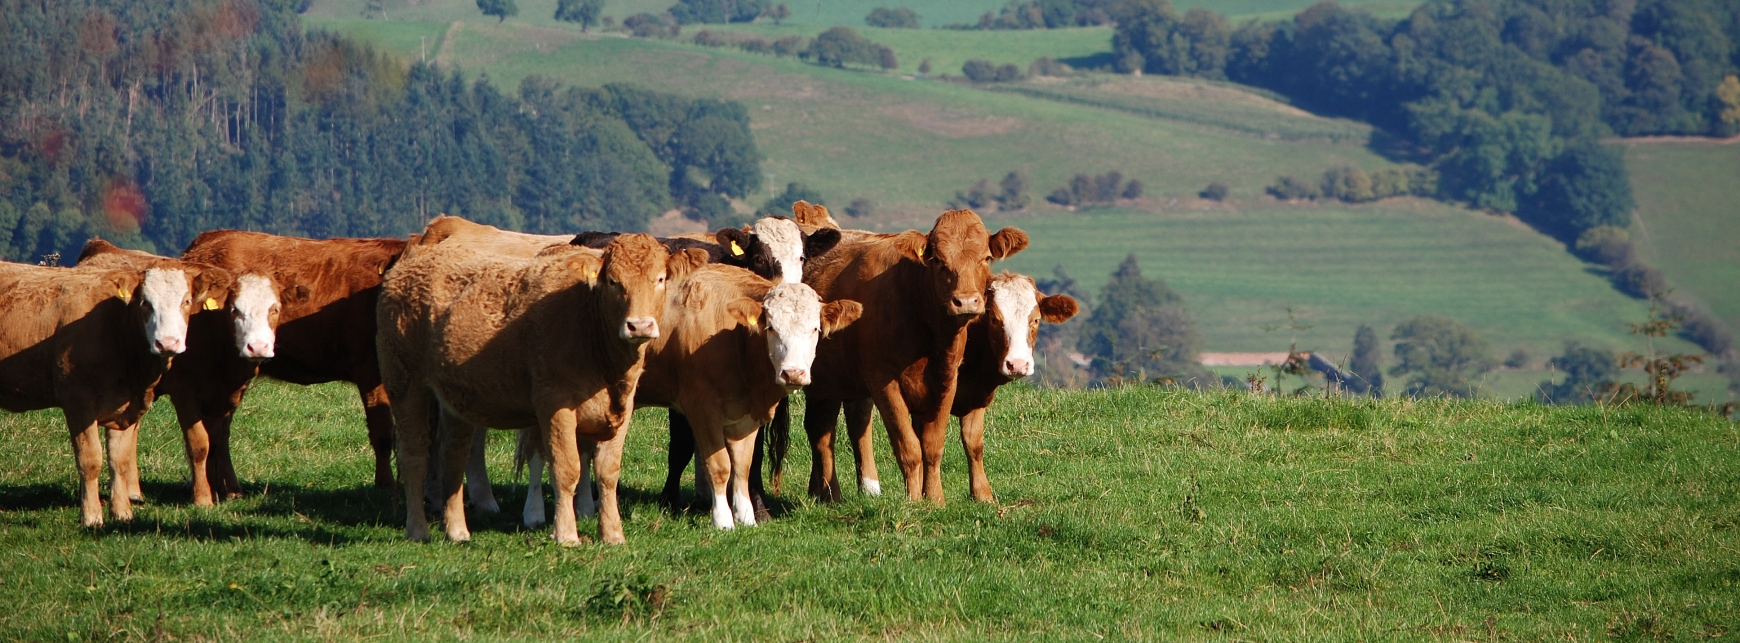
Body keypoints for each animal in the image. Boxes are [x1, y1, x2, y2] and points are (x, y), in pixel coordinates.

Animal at [0, 255, 231, 528]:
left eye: (185, 301)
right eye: (145, 303)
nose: (167, 343)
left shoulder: (126, 405)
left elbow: (119, 460)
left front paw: (122, 513)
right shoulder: (78, 402)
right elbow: (90, 460)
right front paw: (91, 515)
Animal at [74, 238, 297, 510]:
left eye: (275, 309)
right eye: (234, 310)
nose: (257, 347)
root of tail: (102, 246)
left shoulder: (223, 397)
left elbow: (218, 441)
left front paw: (222, 490)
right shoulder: (185, 394)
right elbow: (199, 444)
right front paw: (202, 497)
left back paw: (133, 491)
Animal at [381, 229, 706, 545]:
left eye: (660, 279)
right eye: (613, 281)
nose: (639, 325)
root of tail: (415, 255)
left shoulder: (622, 407)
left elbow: (608, 472)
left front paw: (613, 534)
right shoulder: (555, 403)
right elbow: (566, 469)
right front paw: (566, 533)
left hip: (454, 397)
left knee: (454, 455)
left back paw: (457, 530)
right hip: (404, 381)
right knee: (413, 455)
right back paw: (418, 529)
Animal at [793, 208, 1023, 503]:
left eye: (986, 258)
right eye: (938, 261)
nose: (966, 302)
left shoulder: (947, 379)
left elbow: (932, 446)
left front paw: (935, 500)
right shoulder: (883, 381)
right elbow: (909, 447)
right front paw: (914, 500)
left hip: (831, 380)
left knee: (825, 427)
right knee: (823, 432)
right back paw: (831, 495)